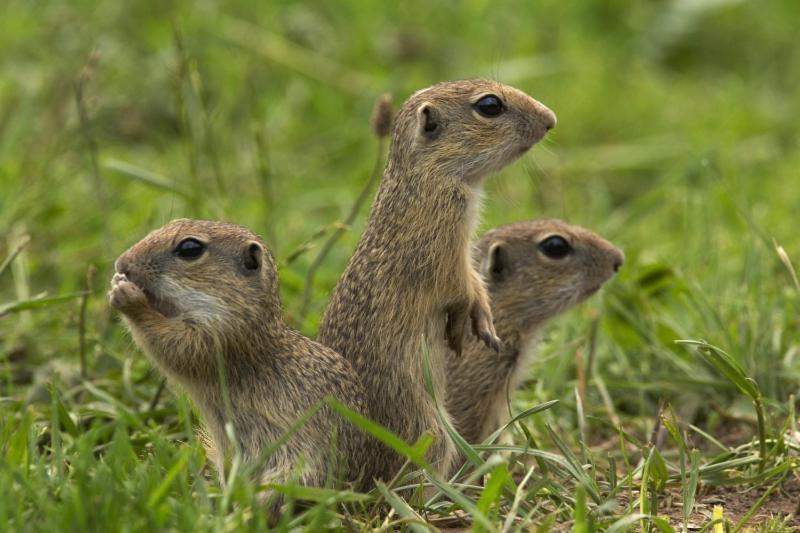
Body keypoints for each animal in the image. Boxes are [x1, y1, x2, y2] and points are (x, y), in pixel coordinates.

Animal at [318, 79, 556, 474]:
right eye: (489, 105)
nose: (551, 119)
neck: (429, 175)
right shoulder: (442, 243)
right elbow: (461, 284)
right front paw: (480, 322)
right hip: (428, 429)